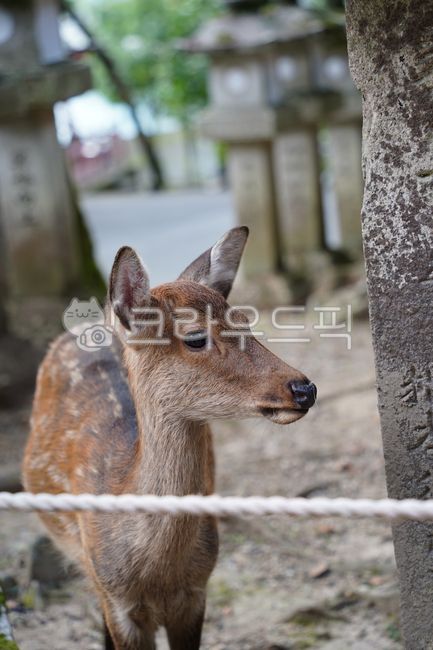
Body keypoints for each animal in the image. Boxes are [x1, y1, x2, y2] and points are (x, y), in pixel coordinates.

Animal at [23, 226, 317, 650]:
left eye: (244, 320)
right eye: (194, 337)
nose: (304, 389)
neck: (157, 575)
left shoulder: (196, 594)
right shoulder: (116, 600)